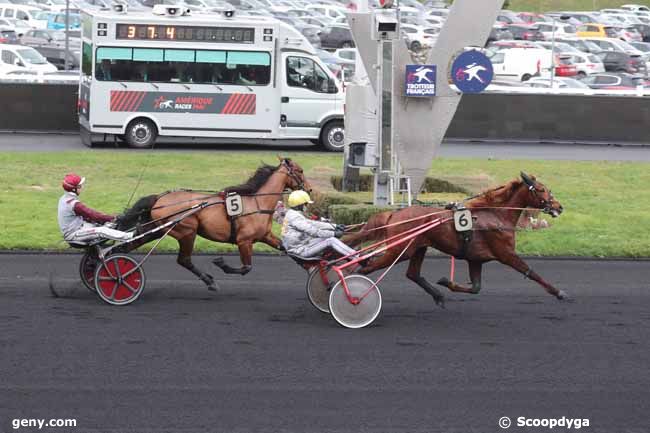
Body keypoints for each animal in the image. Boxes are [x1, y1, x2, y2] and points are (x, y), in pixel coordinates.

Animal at [116, 158, 308, 290]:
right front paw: (221, 263)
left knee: (131, 243)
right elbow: (246, 267)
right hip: (187, 231)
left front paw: (306, 264)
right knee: (184, 260)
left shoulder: (265, 236)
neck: (257, 203)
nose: (309, 189)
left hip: (158, 229)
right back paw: (209, 281)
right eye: (300, 170)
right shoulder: (244, 241)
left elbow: (285, 248)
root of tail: (159, 198)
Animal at [344, 172, 568, 308]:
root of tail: (394, 214)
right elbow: (531, 272)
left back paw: (438, 296)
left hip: (417, 248)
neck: (496, 215)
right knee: (366, 268)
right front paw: (558, 292)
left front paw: (446, 282)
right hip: (399, 250)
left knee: (412, 274)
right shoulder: (505, 253)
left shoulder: (476, 259)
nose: (559, 206)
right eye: (541, 189)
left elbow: (476, 287)